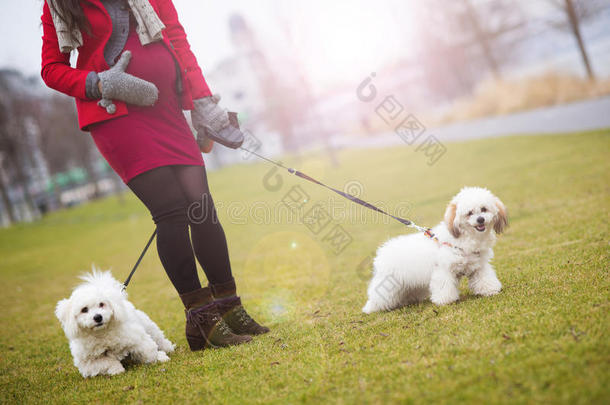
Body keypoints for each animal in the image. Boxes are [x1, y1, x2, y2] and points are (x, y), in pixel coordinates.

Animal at [364, 186, 506, 312]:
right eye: (469, 213)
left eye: (484, 209)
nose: (480, 219)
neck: (466, 238)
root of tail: (383, 250)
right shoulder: (443, 270)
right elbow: (444, 286)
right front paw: (446, 300)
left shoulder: (479, 266)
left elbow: (485, 279)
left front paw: (490, 290)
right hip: (387, 284)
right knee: (377, 296)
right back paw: (371, 308)